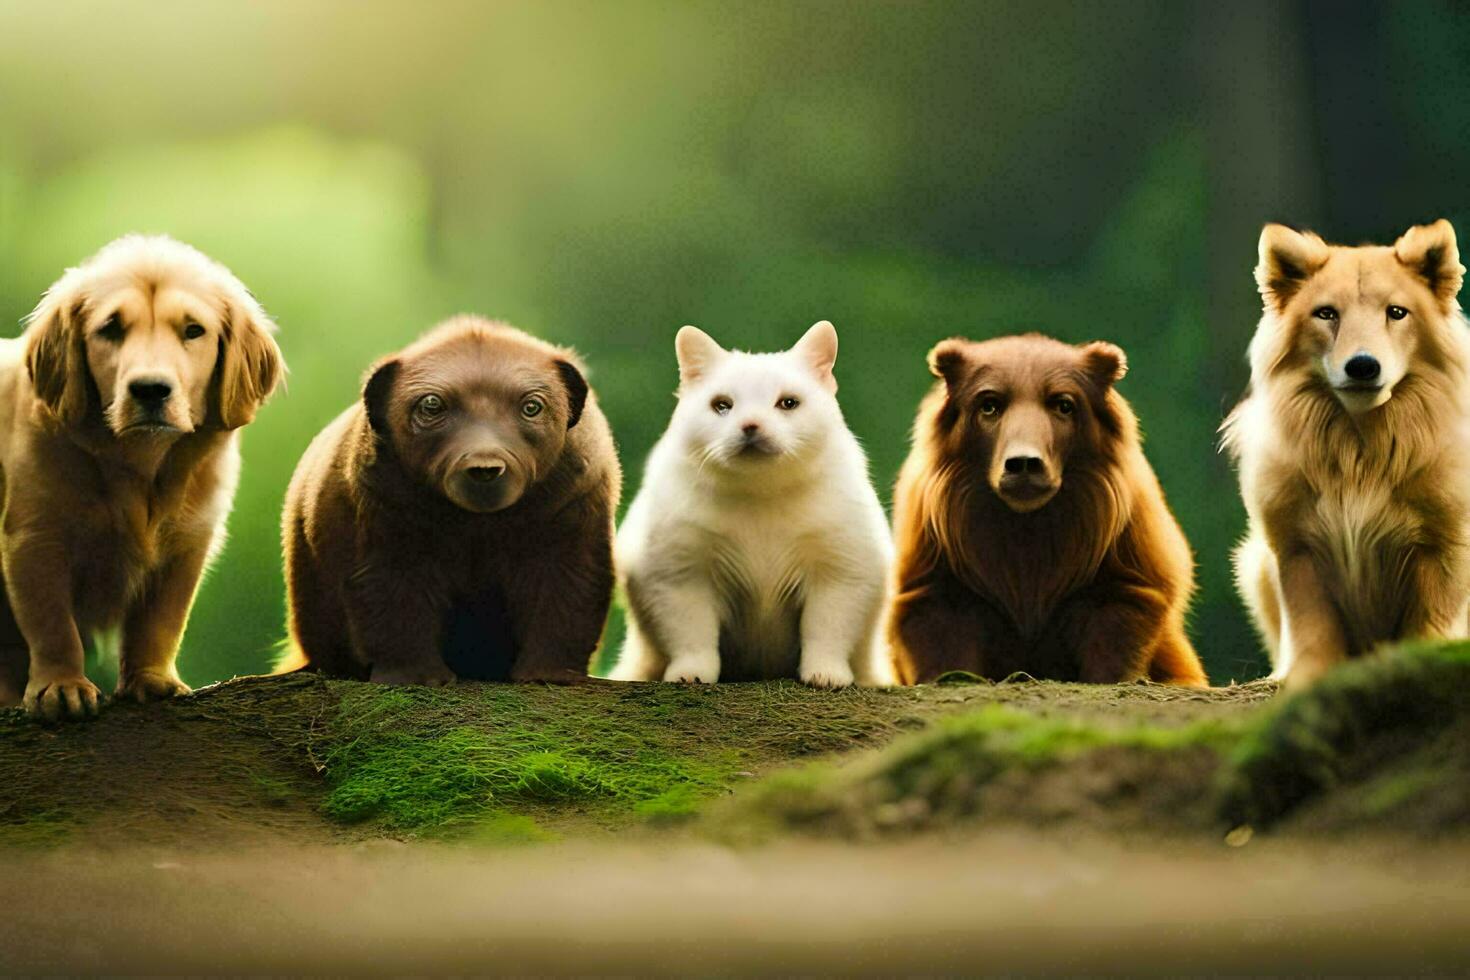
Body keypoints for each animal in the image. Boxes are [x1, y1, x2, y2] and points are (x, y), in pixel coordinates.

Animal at [0, 238, 282, 719]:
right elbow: (52, 621)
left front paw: (150, 679)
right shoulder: (34, 536)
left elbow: (161, 620)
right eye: (110, 329)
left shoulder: (188, 540)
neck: (138, 465)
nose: (150, 390)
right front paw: (61, 685)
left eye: (193, 330)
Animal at [277, 318, 617, 687]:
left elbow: (566, 593)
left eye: (532, 406)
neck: (477, 525)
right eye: (431, 405)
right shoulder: (383, 512)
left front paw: (549, 675)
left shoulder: (571, 509)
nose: (485, 467)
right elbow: (392, 597)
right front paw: (414, 675)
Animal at [611, 321, 893, 690]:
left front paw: (826, 675)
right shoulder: (679, 574)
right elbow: (692, 633)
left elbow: (827, 630)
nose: (751, 426)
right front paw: (691, 674)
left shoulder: (841, 570)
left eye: (788, 403)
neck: (760, 496)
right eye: (721, 405)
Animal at [882, 333, 1205, 687]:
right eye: (989, 405)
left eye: (1063, 404)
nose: (1023, 463)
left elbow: (1118, 625)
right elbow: (939, 627)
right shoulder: (934, 572)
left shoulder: (1125, 570)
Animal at [1217, 220, 1470, 690]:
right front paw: (1301, 677)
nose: (1363, 366)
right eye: (1326, 313)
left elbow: (1430, 621)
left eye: (1397, 312)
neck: (1361, 451)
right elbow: (1311, 625)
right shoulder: (1296, 549)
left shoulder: (1443, 547)